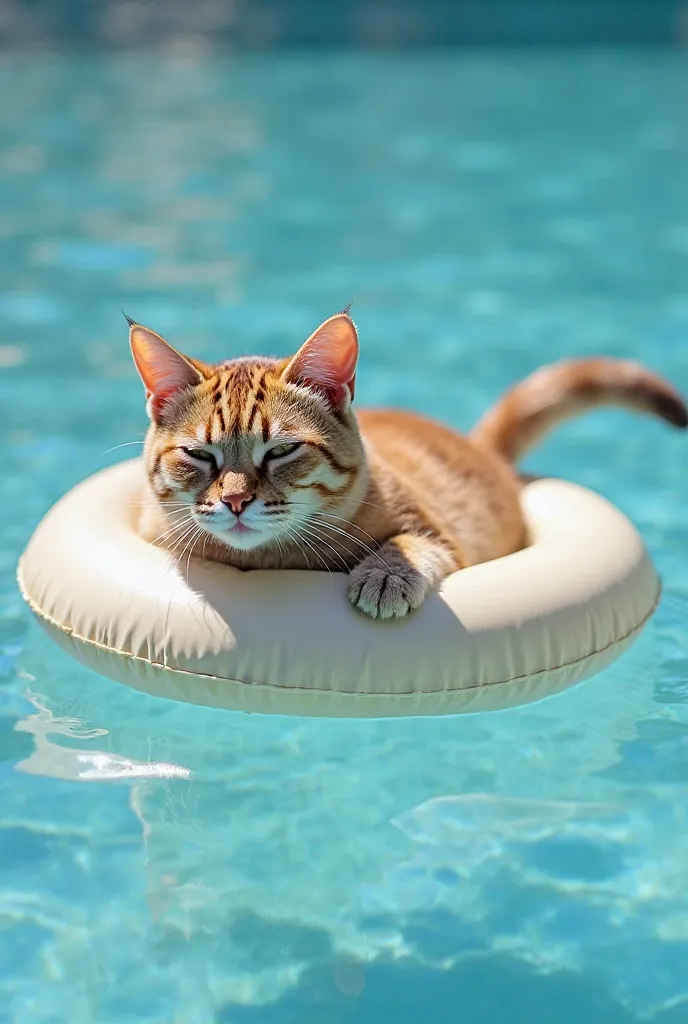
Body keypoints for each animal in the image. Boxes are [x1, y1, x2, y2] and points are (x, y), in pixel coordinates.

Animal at [130, 309, 688, 614]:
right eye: (199, 455)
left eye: (283, 450)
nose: (236, 500)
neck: (271, 560)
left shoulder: (438, 533)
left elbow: (406, 543)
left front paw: (386, 573)